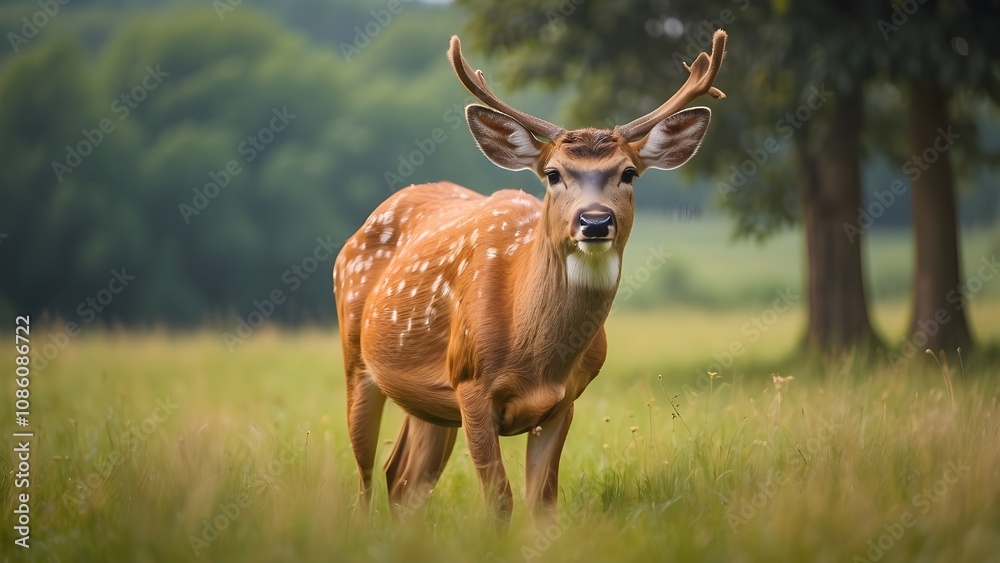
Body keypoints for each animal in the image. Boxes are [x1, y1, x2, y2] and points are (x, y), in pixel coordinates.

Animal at [333, 30, 727, 522]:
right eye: (553, 174)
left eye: (629, 173)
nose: (594, 221)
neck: (534, 355)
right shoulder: (471, 385)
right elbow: (500, 499)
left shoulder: (564, 401)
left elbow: (543, 502)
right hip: (357, 361)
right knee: (366, 477)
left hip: (429, 403)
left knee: (403, 477)